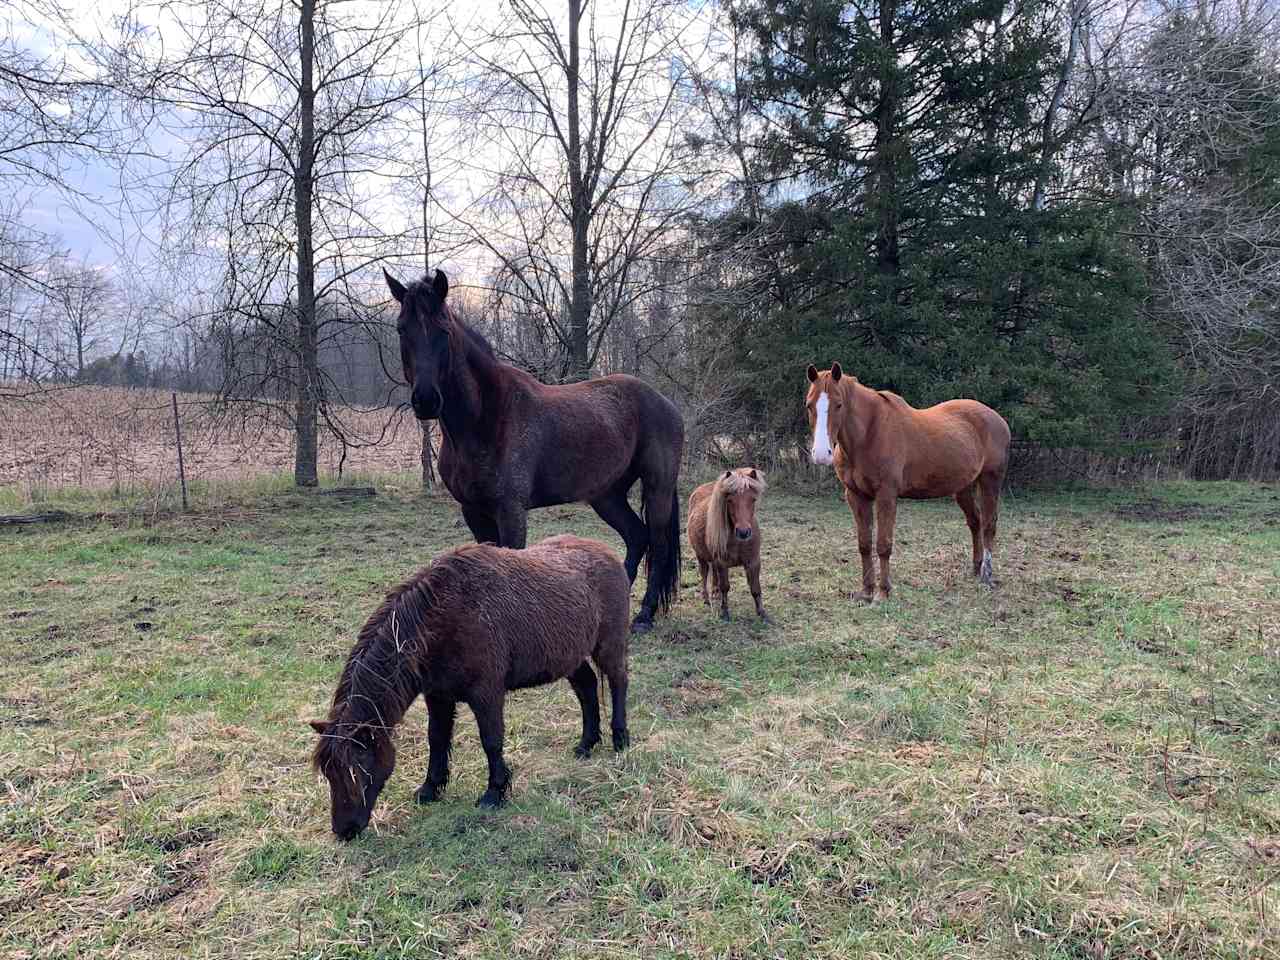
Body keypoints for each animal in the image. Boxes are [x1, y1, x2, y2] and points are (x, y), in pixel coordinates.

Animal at [309, 535, 629, 839]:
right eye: (328, 773)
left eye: (357, 772)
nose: (344, 831)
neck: (440, 618)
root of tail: (608, 552)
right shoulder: (438, 696)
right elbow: (437, 739)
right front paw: (430, 788)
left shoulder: (487, 694)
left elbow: (491, 741)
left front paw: (494, 793)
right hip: (570, 656)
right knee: (587, 688)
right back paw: (586, 743)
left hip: (608, 645)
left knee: (618, 682)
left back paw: (620, 739)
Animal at [384, 271, 686, 634]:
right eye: (402, 329)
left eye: (443, 330)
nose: (426, 400)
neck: (486, 418)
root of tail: (665, 403)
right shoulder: (473, 510)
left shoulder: (510, 511)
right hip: (607, 495)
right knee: (637, 537)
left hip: (658, 489)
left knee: (658, 543)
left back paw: (643, 616)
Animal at [691, 468, 768, 624]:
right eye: (730, 501)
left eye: (753, 499)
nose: (743, 532)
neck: (738, 542)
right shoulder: (722, 563)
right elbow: (725, 587)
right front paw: (724, 613)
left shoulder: (753, 562)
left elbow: (755, 589)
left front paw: (762, 613)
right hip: (701, 556)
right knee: (704, 573)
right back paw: (706, 598)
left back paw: (715, 593)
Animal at [808, 363, 1008, 601]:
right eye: (809, 405)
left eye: (839, 404)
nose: (822, 454)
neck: (869, 434)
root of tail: (997, 418)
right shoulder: (856, 495)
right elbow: (864, 544)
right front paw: (866, 591)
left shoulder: (886, 495)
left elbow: (883, 545)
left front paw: (883, 592)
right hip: (963, 488)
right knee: (975, 522)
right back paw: (976, 569)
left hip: (990, 480)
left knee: (988, 525)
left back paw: (987, 575)